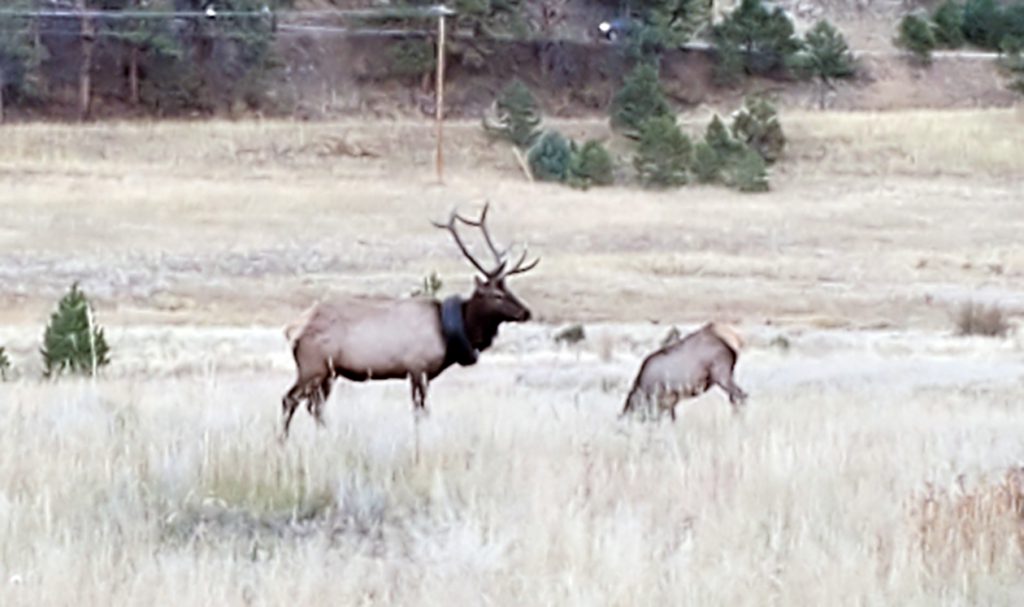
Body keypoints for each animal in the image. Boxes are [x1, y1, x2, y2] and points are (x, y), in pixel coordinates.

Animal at [276, 202, 540, 436]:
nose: (526, 312)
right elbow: (420, 411)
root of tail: (292, 330)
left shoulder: (421, 373)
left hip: (328, 372)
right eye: (497, 295)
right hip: (312, 366)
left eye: (509, 289)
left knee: (315, 407)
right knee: (289, 399)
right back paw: (283, 442)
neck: (448, 334)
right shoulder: (417, 367)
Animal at [618, 321, 749, 421]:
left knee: (741, 396)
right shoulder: (669, 403)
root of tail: (734, 341)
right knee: (735, 398)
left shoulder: (664, 400)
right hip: (729, 374)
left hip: (721, 375)